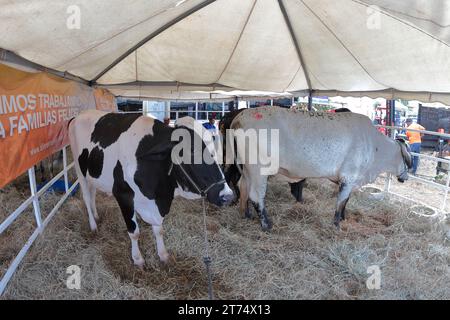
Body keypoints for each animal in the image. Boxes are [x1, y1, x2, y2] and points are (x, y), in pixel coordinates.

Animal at [69, 110, 236, 268]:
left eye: (215, 148)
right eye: (191, 151)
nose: (227, 196)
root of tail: (78, 116)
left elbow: (159, 230)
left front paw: (163, 255)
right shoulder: (123, 195)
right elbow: (134, 232)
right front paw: (138, 259)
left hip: (92, 175)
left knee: (93, 194)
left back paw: (97, 216)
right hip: (79, 171)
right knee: (86, 197)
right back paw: (93, 225)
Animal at [232, 107, 412, 230]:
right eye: (407, 160)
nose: (405, 178)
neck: (375, 146)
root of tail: (240, 118)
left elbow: (346, 201)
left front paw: (343, 218)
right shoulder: (348, 177)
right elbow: (341, 202)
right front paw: (337, 224)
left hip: (247, 169)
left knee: (243, 187)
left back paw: (246, 214)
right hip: (258, 169)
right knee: (256, 195)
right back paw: (266, 224)